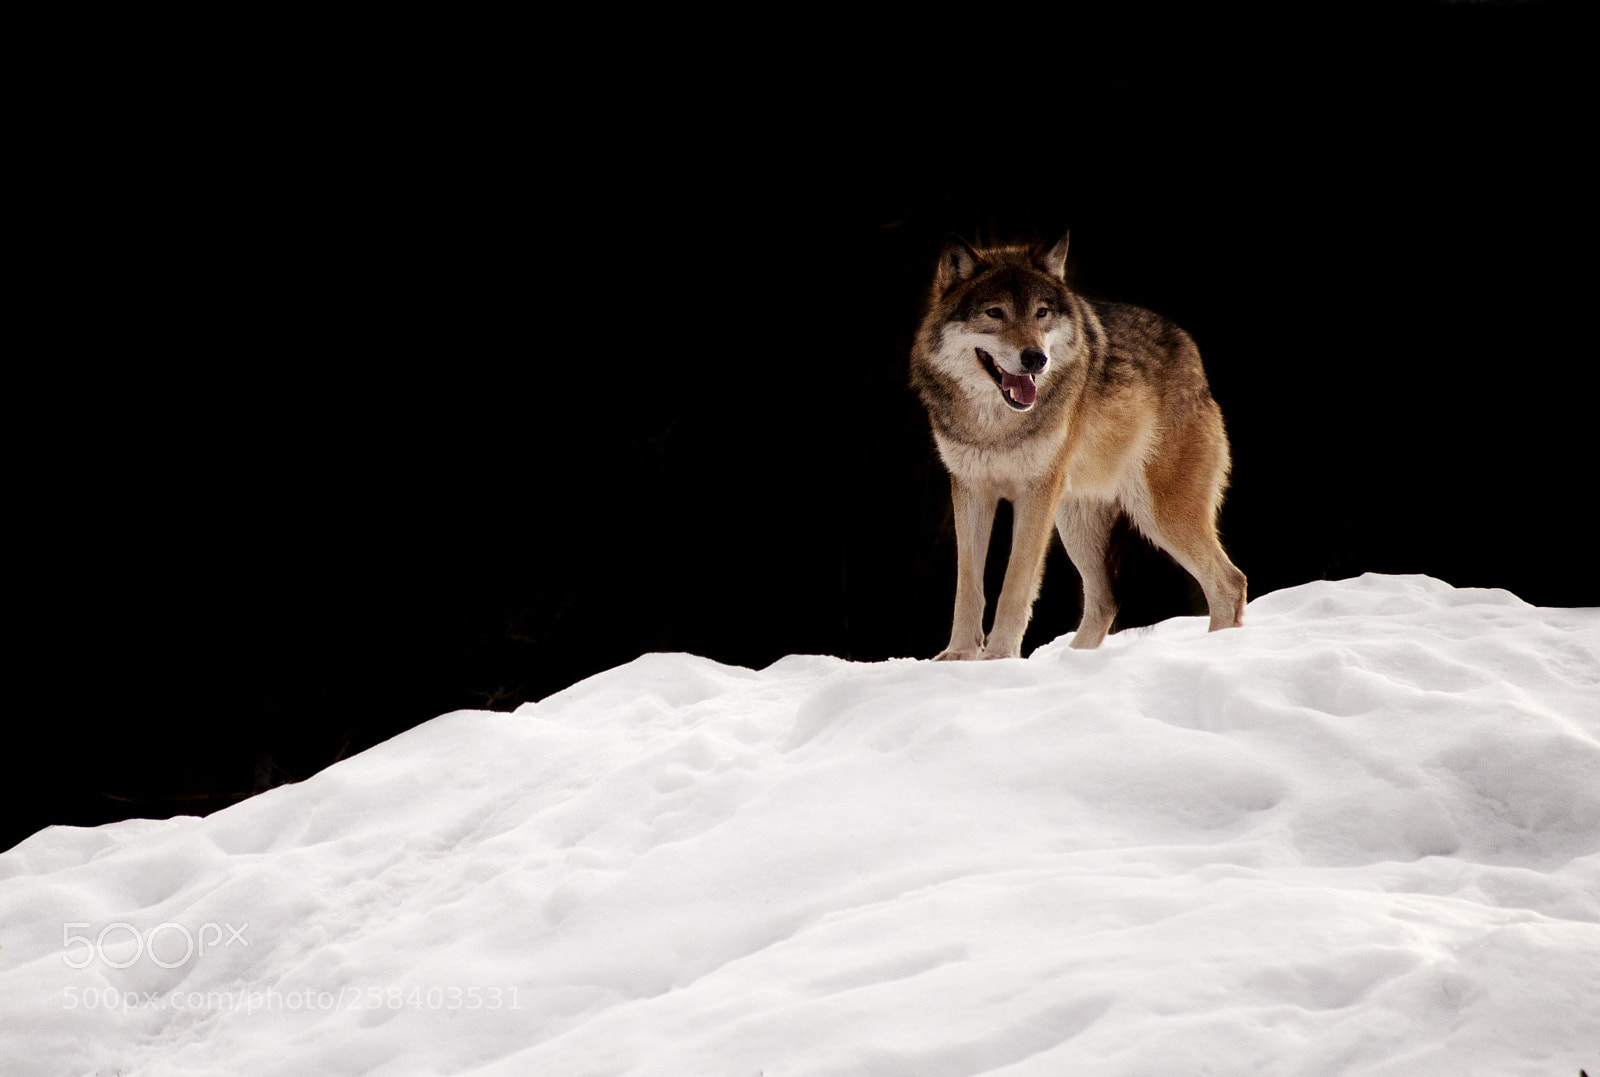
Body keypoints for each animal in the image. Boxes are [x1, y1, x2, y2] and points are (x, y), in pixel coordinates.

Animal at [909, 232, 1246, 660]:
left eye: (1041, 313)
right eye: (994, 313)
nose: (1035, 358)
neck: (997, 427)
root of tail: (1193, 358)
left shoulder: (1035, 492)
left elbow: (1015, 584)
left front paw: (999, 656)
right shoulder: (970, 490)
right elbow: (968, 586)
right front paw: (960, 656)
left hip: (1158, 514)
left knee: (1229, 582)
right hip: (1076, 522)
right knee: (1105, 601)